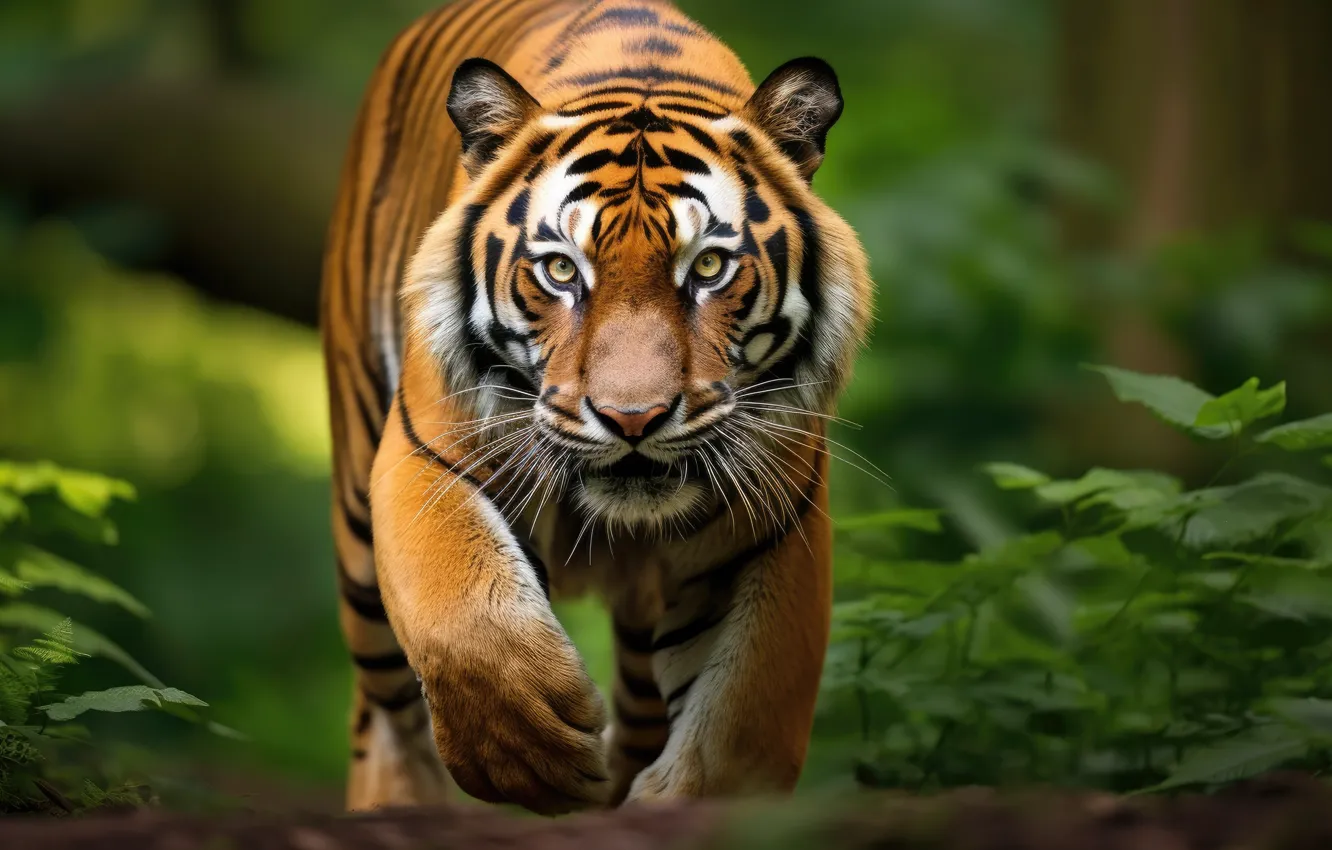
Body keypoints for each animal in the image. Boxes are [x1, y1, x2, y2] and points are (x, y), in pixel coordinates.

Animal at [321, 0, 871, 814]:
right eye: (560, 270)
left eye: (709, 266)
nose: (633, 419)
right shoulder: (429, 456)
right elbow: (464, 621)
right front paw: (535, 761)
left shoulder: (773, 524)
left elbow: (740, 727)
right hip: (359, 528)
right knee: (381, 707)